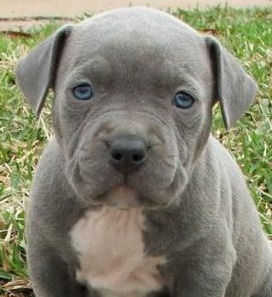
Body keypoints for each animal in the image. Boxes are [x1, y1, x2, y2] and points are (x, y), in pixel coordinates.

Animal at [15, 6, 272, 296]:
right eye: (82, 91)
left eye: (184, 99)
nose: (127, 149)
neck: (121, 213)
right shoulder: (49, 263)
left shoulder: (204, 269)